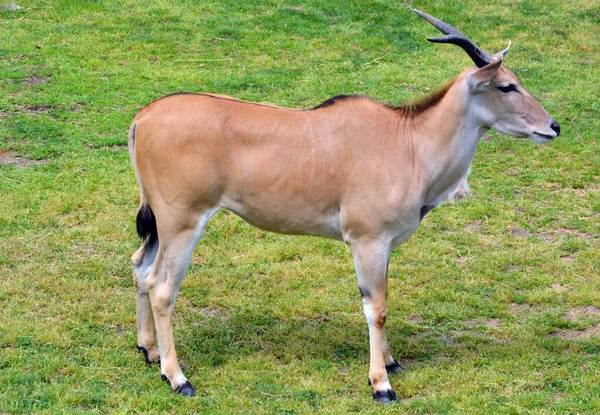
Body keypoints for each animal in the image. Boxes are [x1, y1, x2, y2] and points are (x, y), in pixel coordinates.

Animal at [129, 9, 560, 404]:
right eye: (507, 86)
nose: (553, 126)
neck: (409, 140)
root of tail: (142, 117)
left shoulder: (384, 245)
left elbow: (383, 301)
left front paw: (391, 362)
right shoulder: (367, 241)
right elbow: (376, 307)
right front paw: (381, 384)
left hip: (162, 227)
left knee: (140, 267)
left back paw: (149, 352)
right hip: (182, 223)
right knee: (162, 287)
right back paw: (177, 377)